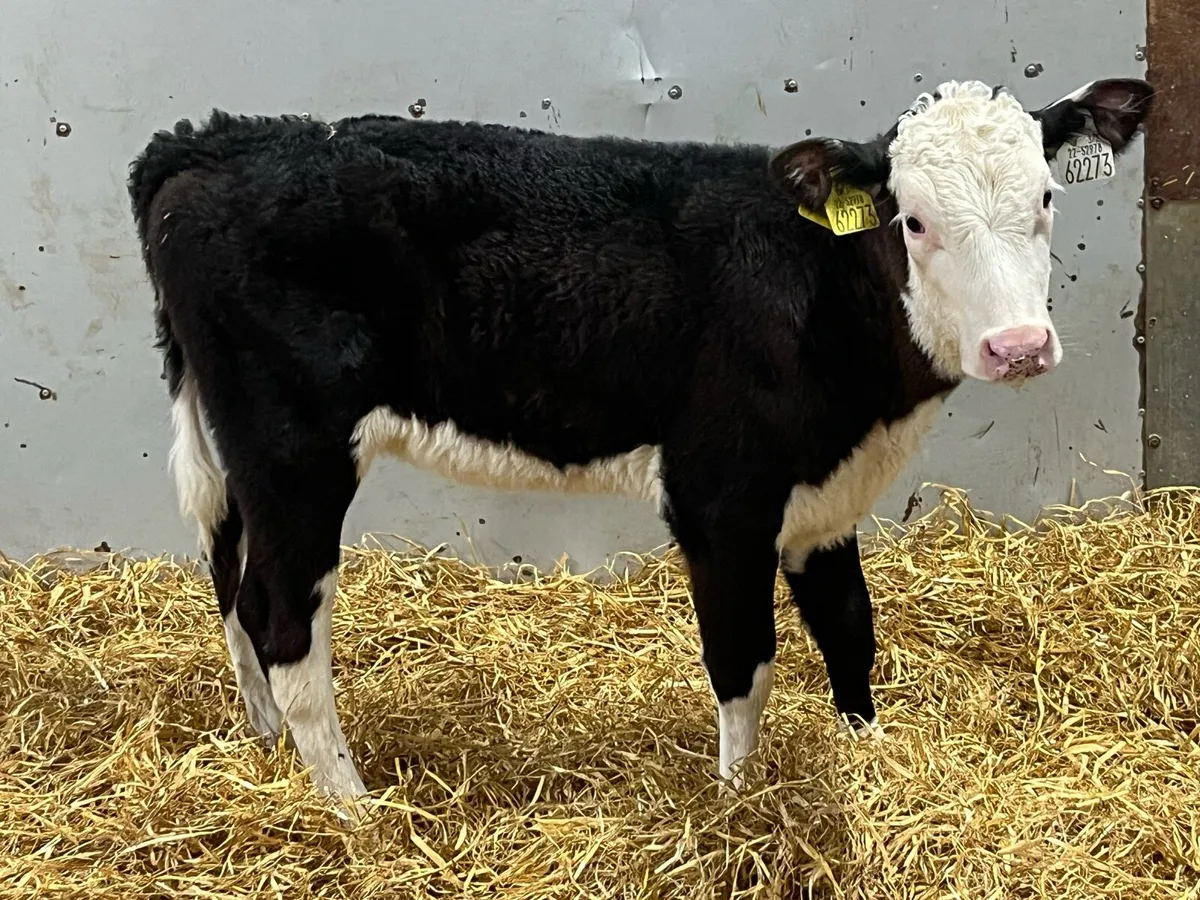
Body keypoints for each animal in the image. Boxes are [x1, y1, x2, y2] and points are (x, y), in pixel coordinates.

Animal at [128, 76, 1153, 813]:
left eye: (1048, 197)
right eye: (913, 219)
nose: (1018, 347)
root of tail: (212, 140)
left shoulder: (826, 495)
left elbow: (850, 630)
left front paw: (869, 757)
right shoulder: (720, 494)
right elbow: (744, 659)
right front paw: (739, 807)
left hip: (238, 449)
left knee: (236, 587)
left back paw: (268, 747)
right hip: (293, 448)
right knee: (285, 623)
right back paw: (353, 807)